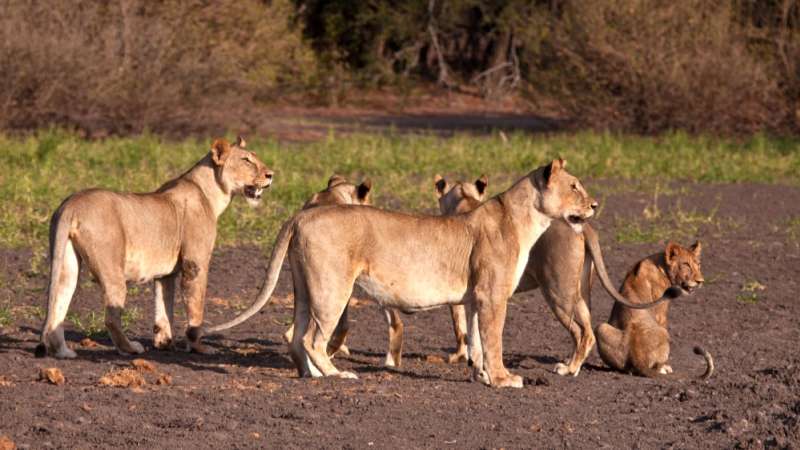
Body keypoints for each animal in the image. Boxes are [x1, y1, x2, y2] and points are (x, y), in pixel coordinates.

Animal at [35, 137, 273, 359]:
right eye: (246, 160)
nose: (271, 174)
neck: (210, 191)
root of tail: (71, 204)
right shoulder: (195, 264)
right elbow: (195, 308)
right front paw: (199, 347)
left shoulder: (165, 274)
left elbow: (164, 308)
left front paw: (164, 343)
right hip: (112, 270)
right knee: (111, 317)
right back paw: (130, 348)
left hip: (67, 264)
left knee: (57, 305)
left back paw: (63, 352)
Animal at [208, 158, 601, 388]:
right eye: (575, 186)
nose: (595, 205)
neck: (527, 219)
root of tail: (302, 215)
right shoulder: (492, 296)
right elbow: (493, 340)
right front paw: (504, 378)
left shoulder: (476, 297)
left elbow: (476, 339)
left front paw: (482, 375)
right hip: (332, 289)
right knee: (311, 339)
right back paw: (336, 375)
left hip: (306, 288)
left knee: (295, 335)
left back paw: (311, 375)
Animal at [595, 241, 714, 379]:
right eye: (686, 265)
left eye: (698, 265)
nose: (700, 281)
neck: (662, 265)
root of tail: (637, 355)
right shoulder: (661, 310)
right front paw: (666, 366)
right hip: (664, 332)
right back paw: (663, 369)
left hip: (600, 327)